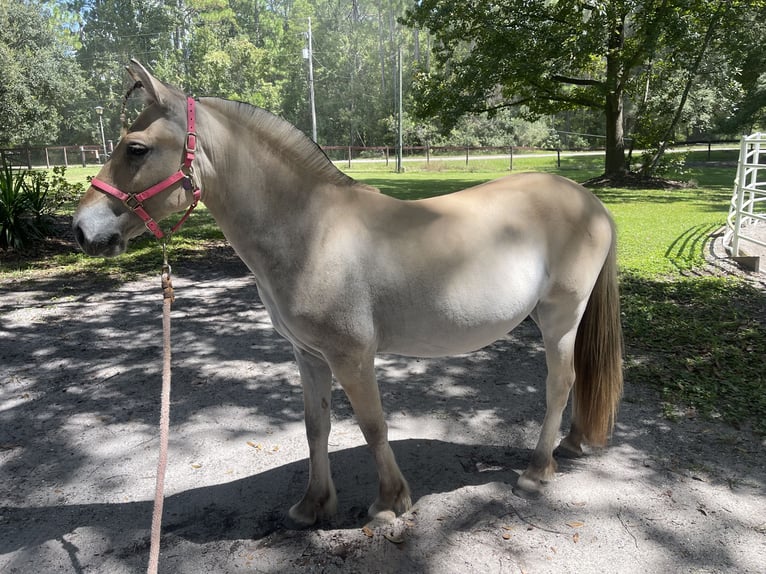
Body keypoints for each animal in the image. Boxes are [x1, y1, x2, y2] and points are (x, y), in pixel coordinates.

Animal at [73, 60, 623, 526]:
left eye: (136, 148)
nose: (82, 230)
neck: (310, 231)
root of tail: (591, 202)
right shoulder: (309, 355)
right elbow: (316, 427)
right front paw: (313, 505)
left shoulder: (351, 355)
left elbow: (373, 425)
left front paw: (390, 502)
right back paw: (571, 445)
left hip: (560, 316)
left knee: (560, 382)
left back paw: (537, 470)